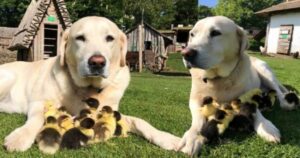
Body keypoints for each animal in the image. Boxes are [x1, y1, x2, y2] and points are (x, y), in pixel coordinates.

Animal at [1, 16, 179, 152]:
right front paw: (20, 137)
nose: (97, 62)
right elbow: (36, 119)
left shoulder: (112, 111)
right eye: (80, 38)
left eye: (109, 38)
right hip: (8, 77)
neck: (89, 88)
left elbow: (140, 121)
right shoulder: (39, 102)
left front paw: (167, 138)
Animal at [178, 16, 298, 156]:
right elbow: (198, 118)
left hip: (265, 71)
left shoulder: (249, 95)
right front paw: (193, 136)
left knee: (279, 92)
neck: (219, 79)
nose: (185, 53)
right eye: (192, 34)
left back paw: (286, 101)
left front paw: (267, 127)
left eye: (215, 33)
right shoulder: (195, 99)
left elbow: (256, 111)